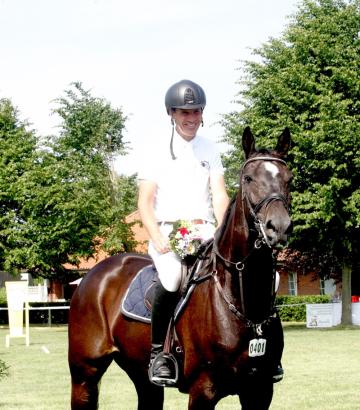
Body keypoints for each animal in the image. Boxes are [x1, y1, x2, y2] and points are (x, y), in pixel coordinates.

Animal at [68, 126, 292, 408]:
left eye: (289, 179)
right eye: (248, 178)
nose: (279, 228)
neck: (243, 302)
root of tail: (95, 274)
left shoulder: (260, 390)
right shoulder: (203, 390)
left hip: (142, 375)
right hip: (84, 374)